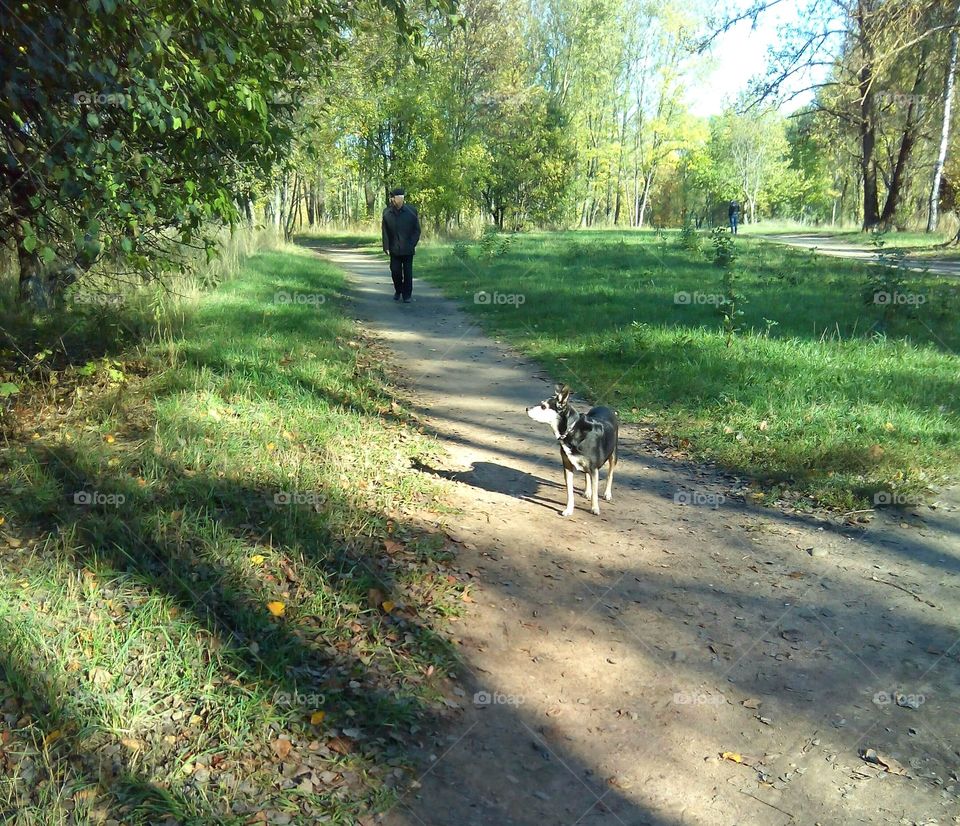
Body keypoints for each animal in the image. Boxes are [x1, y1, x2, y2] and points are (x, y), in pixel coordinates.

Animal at [528, 382, 620, 512]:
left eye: (543, 407)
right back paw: (587, 491)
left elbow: (596, 491)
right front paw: (569, 509)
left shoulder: (594, 468)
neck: (571, 430)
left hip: (613, 455)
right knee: (587, 475)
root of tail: (605, 407)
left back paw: (607, 493)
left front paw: (595, 508)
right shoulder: (567, 466)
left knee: (610, 474)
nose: (527, 408)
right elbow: (570, 492)